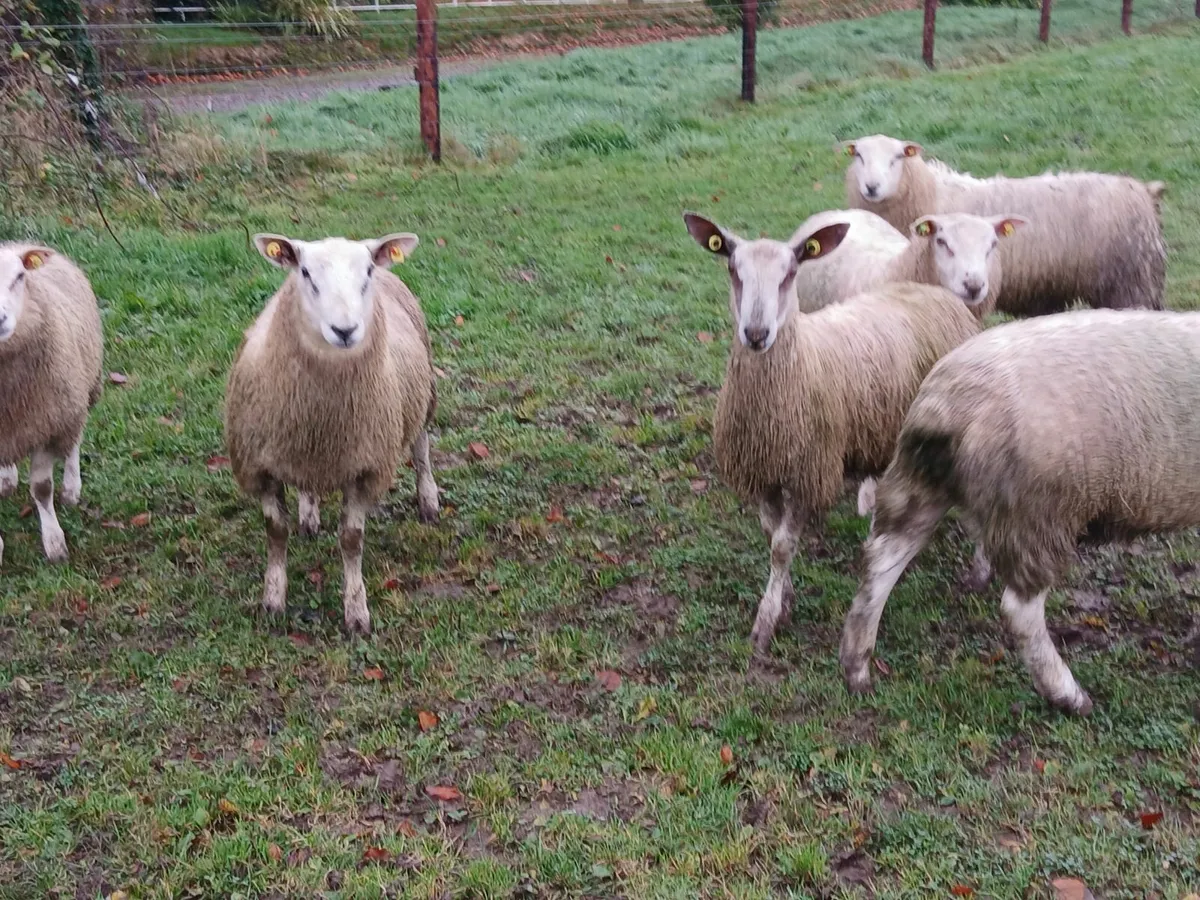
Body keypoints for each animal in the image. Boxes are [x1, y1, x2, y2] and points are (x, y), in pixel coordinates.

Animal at [0, 243, 103, 566]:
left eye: (20, 276)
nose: (0, 320)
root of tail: (18, 242)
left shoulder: (47, 424)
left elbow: (42, 488)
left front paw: (55, 543)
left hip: (77, 395)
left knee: (73, 441)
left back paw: (71, 489)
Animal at [225, 231, 440, 634]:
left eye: (367, 271)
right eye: (305, 272)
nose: (345, 331)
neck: (322, 416)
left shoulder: (366, 468)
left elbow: (351, 540)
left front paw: (356, 612)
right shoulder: (259, 465)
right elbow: (275, 531)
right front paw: (272, 600)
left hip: (425, 394)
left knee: (421, 448)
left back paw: (429, 501)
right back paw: (309, 514)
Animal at [683, 212, 981, 654]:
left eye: (790, 273)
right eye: (734, 270)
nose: (756, 334)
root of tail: (936, 293)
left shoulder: (810, 471)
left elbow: (782, 547)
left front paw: (766, 622)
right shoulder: (763, 471)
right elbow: (772, 536)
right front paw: (784, 598)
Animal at [838, 308, 1200, 715]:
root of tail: (947, 403)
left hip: (919, 483)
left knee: (879, 565)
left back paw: (856, 669)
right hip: (1039, 510)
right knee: (1019, 610)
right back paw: (1067, 694)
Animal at [841, 134, 1167, 316]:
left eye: (896, 158)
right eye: (859, 156)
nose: (871, 187)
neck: (931, 192)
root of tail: (1144, 191)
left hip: (1129, 284)